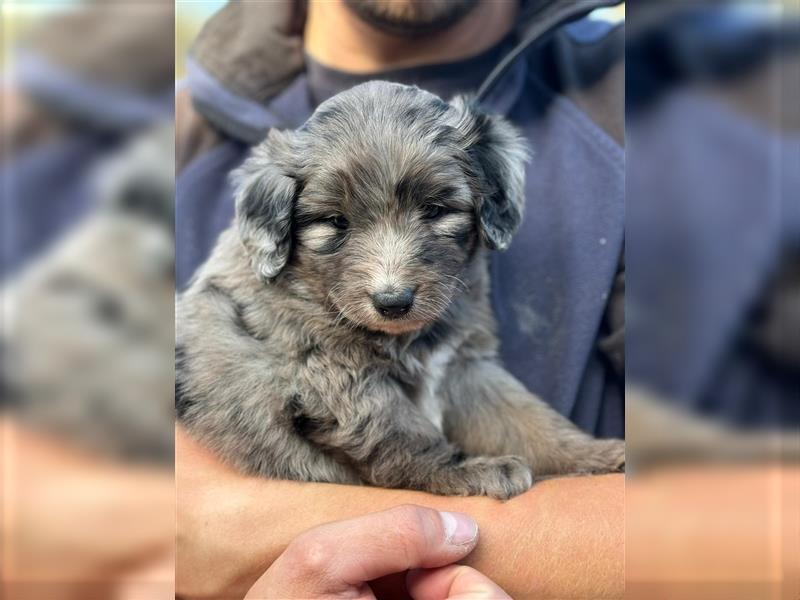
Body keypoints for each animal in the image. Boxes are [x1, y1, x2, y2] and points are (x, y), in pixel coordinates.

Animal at [177, 82, 624, 500]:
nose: (392, 302)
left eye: (435, 210)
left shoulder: (463, 366)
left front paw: (593, 453)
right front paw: (466, 471)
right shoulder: (333, 377)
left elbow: (524, 419)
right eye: (335, 222)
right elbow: (401, 432)